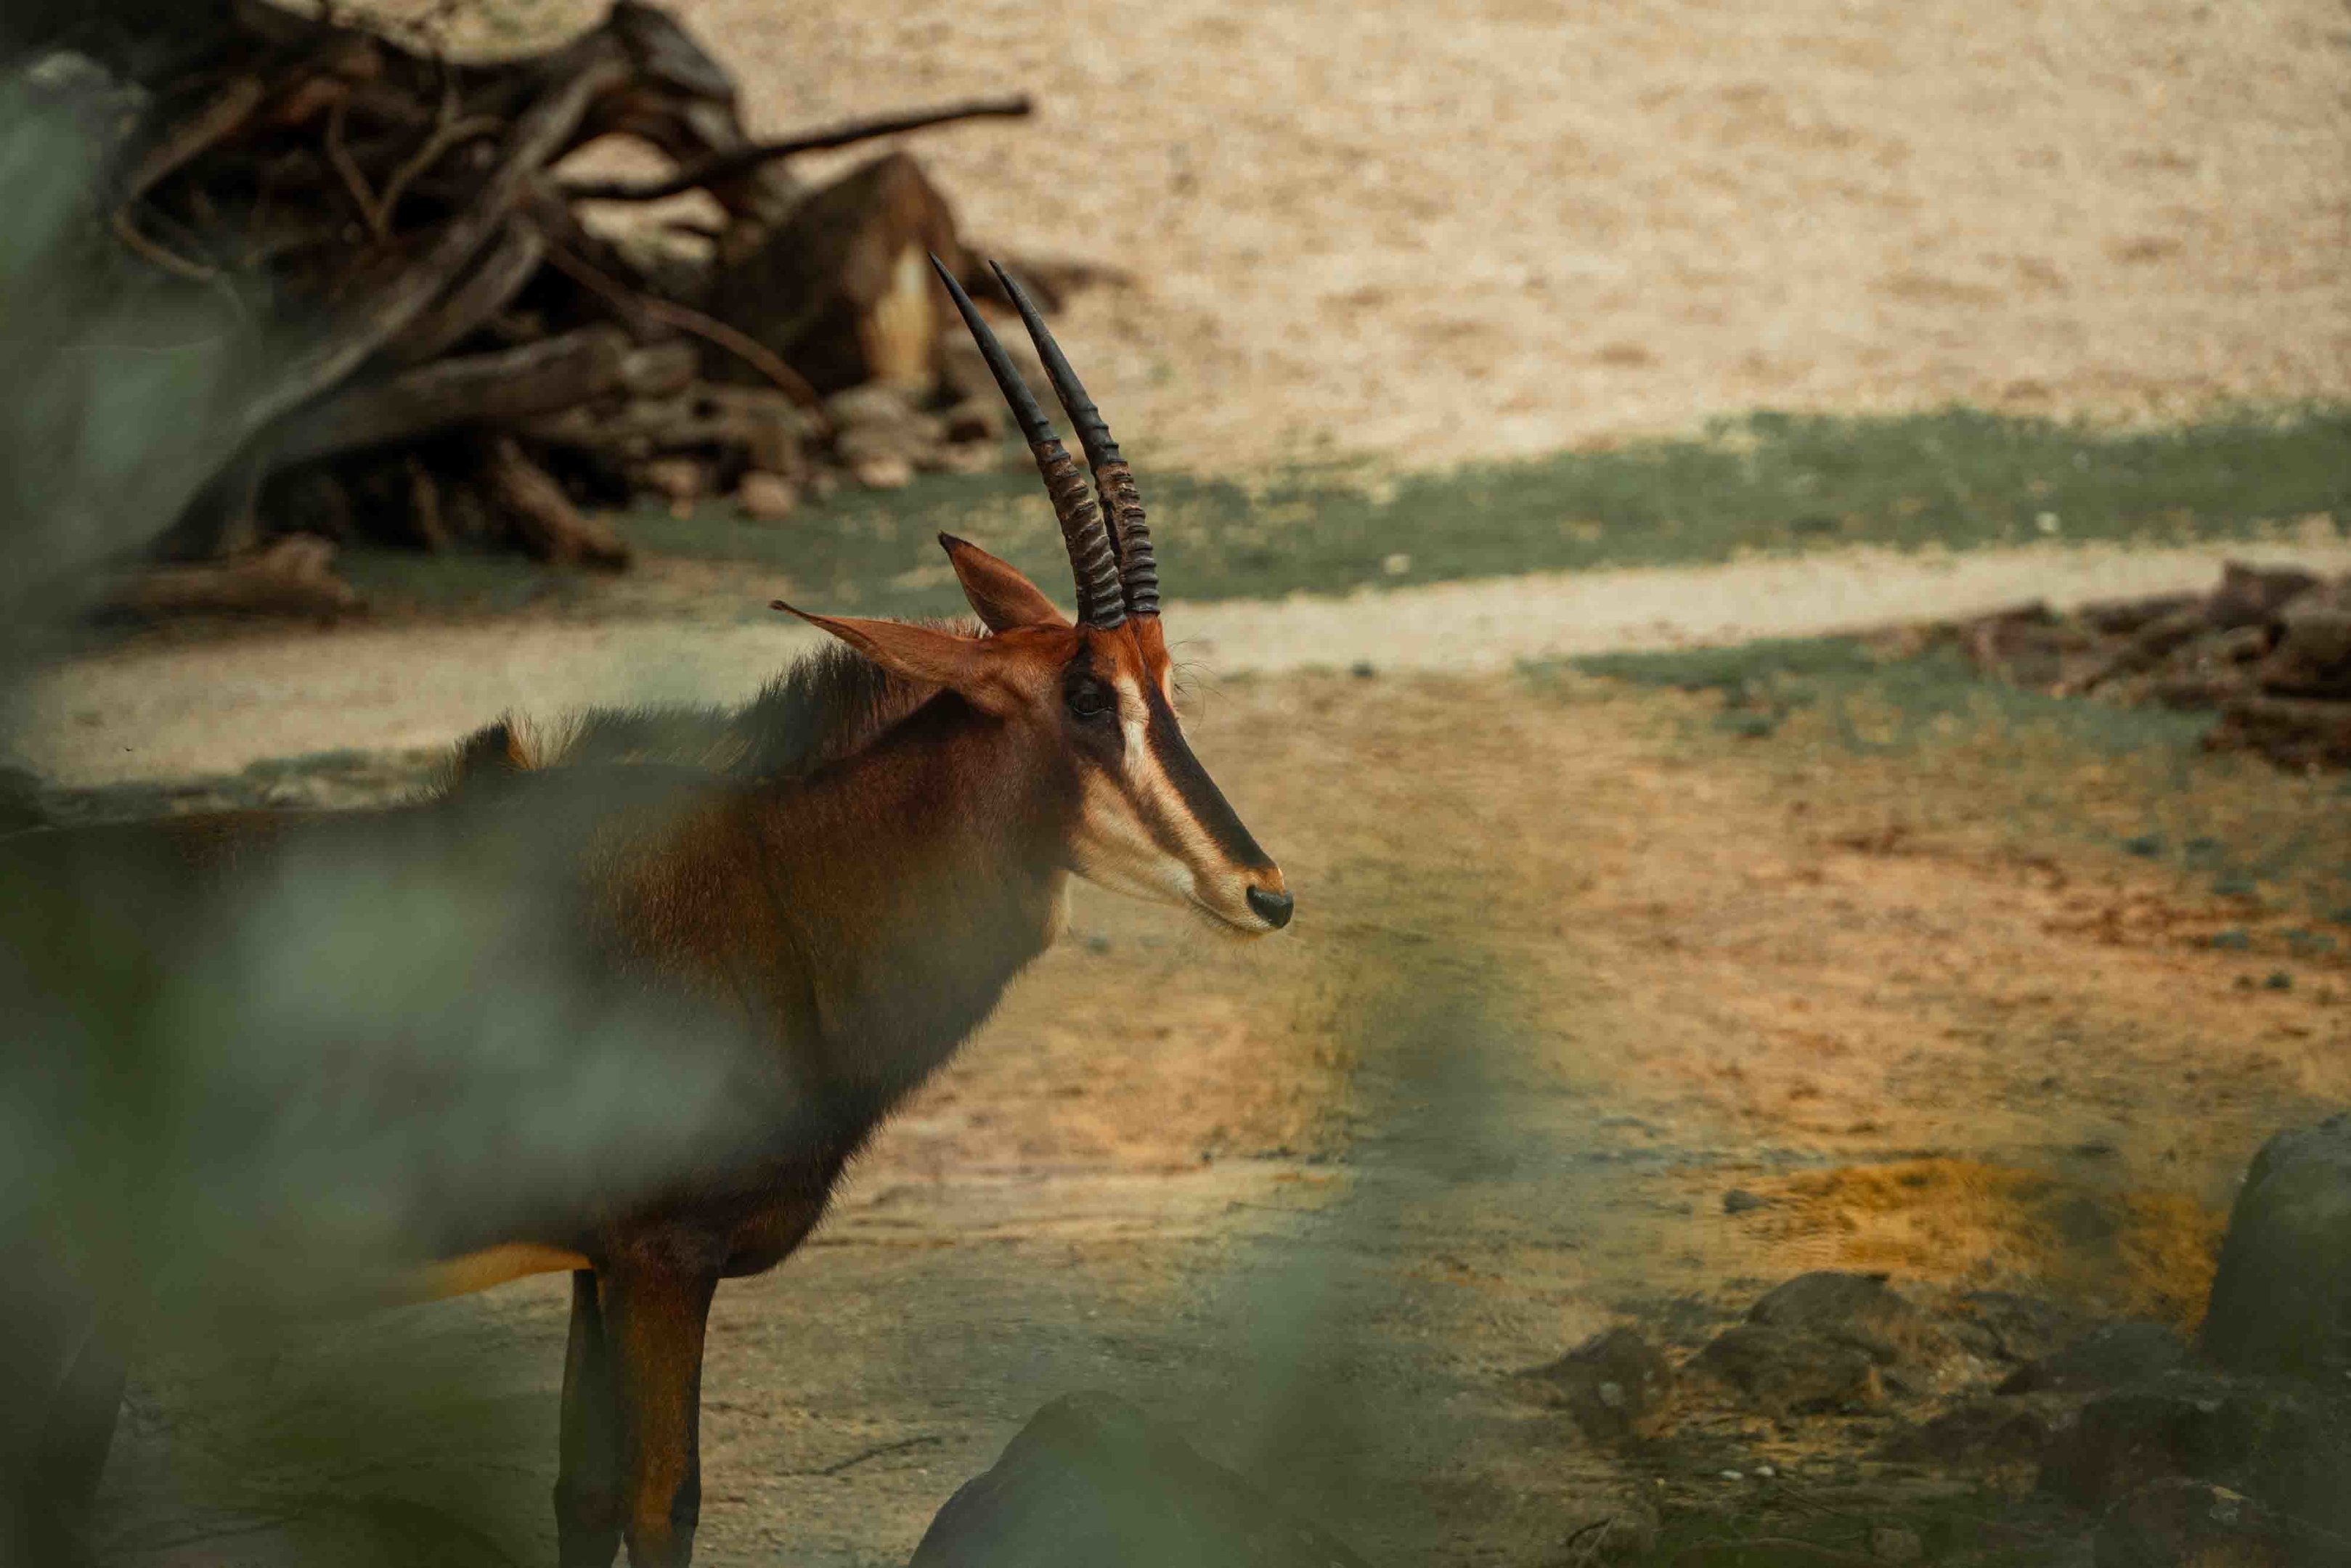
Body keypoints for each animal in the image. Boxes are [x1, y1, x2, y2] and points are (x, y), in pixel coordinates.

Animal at [8, 257, 1289, 1568]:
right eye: (1087, 696)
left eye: (1168, 684)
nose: (1262, 891)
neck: (776, 884)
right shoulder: (674, 1257)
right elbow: (661, 1500)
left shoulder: (602, 1262)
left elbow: (581, 1491)